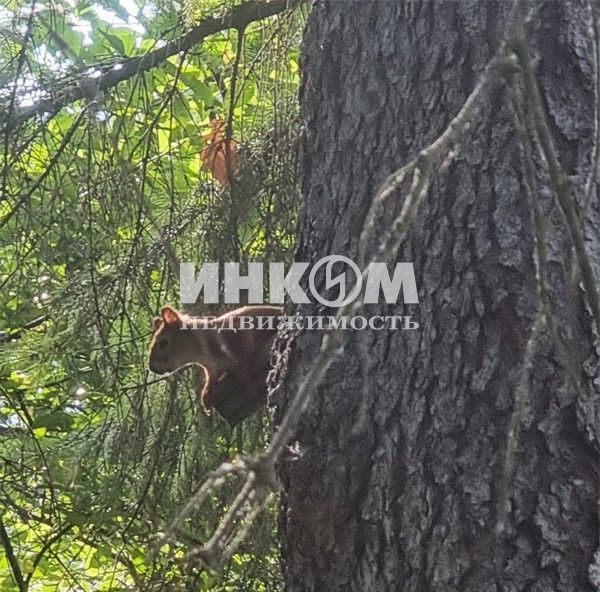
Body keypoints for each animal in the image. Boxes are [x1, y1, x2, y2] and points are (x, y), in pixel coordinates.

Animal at [149, 306, 282, 426]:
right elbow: (210, 379)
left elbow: (243, 365)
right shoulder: (211, 369)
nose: (152, 367)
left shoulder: (237, 340)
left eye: (163, 343)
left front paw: (247, 381)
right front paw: (205, 396)